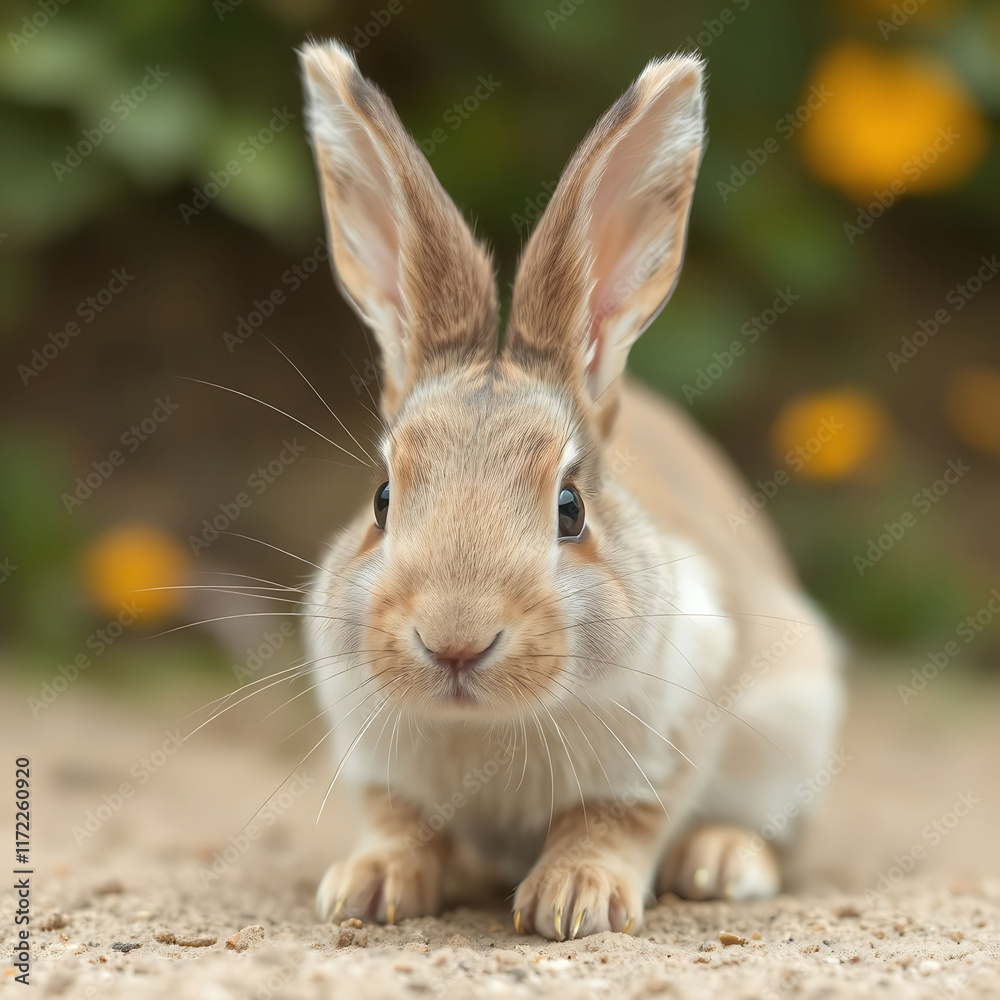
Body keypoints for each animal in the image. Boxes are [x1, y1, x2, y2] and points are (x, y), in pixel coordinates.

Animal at [297, 39, 844, 941]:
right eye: (382, 498)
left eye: (569, 508)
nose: (454, 640)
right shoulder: (376, 755)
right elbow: (399, 820)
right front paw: (366, 887)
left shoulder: (665, 741)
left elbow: (613, 821)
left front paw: (575, 900)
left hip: (794, 726)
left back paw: (722, 862)